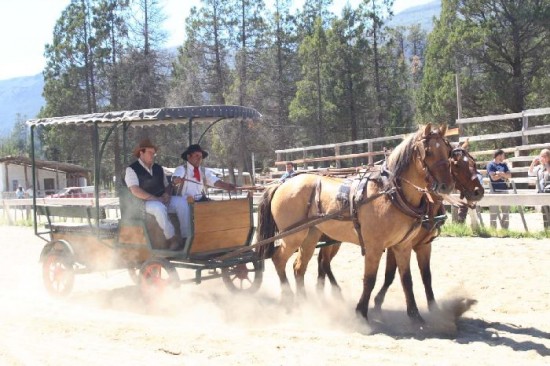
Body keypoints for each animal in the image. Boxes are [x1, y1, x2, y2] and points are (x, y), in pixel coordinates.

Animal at [258, 123, 458, 324]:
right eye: (428, 151)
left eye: (447, 150)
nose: (446, 186)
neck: (390, 193)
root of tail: (282, 184)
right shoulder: (374, 246)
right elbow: (370, 279)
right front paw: (361, 312)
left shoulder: (403, 245)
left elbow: (406, 279)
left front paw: (415, 315)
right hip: (293, 235)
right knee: (279, 259)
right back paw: (289, 299)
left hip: (311, 235)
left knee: (299, 267)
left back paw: (306, 304)